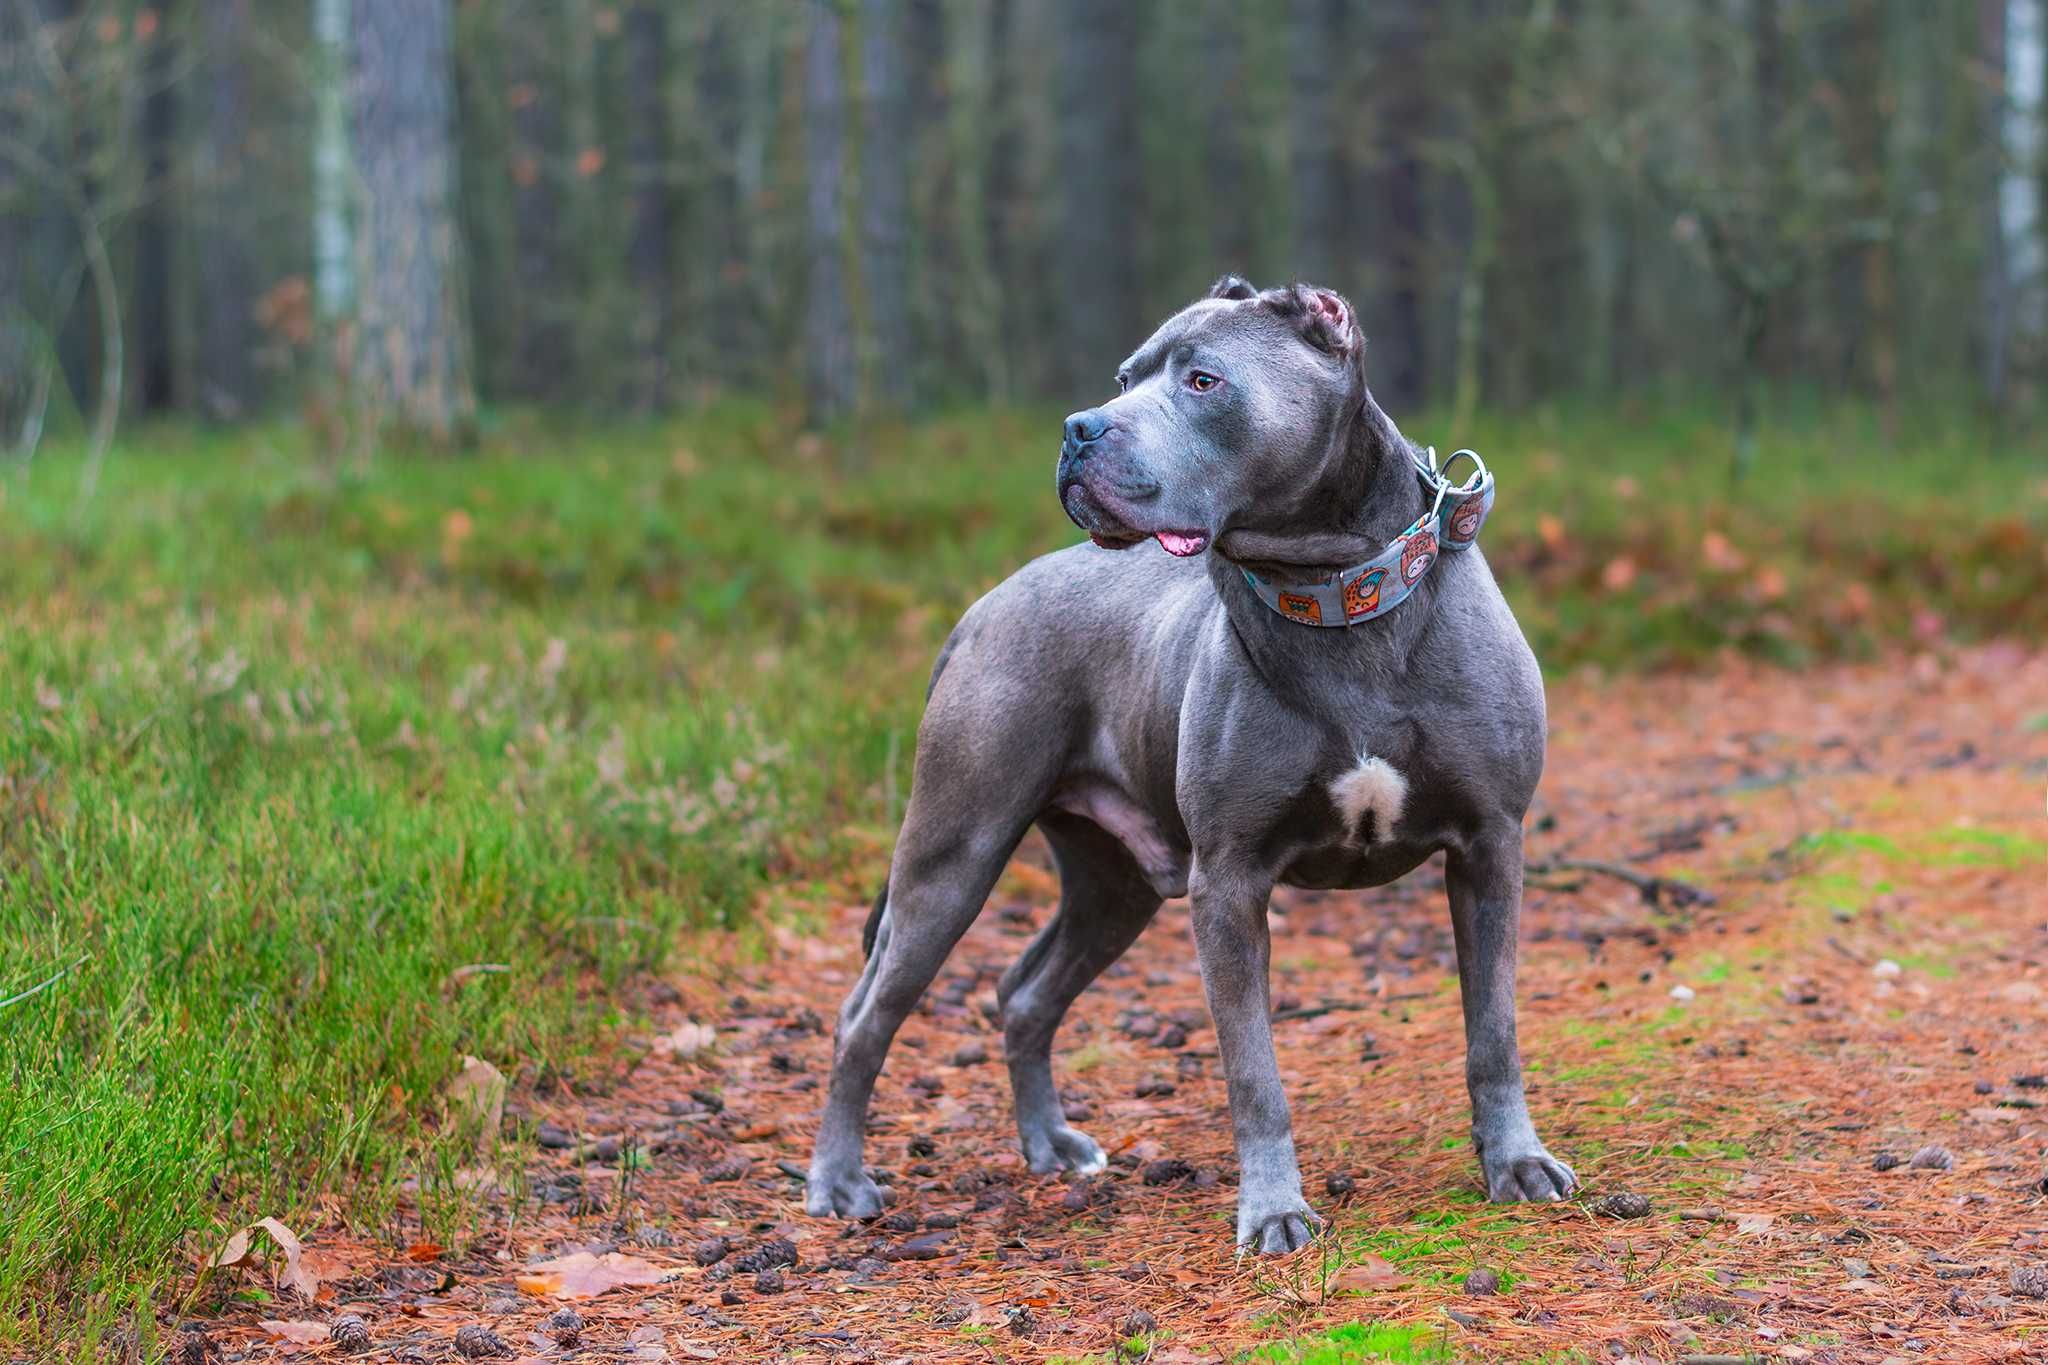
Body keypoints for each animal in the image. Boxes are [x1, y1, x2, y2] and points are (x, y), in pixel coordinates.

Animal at [806, 274, 1572, 1252]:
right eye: (1124, 378)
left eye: (1204, 381)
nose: (1079, 427)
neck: (1337, 597)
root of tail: (979, 610)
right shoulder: (1229, 882)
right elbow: (1254, 1073)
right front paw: (1275, 1210)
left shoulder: (1490, 847)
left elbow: (1495, 1030)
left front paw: (1516, 1162)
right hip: (954, 853)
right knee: (864, 1015)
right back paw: (837, 1179)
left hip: (1114, 883)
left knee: (1025, 993)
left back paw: (1050, 1144)